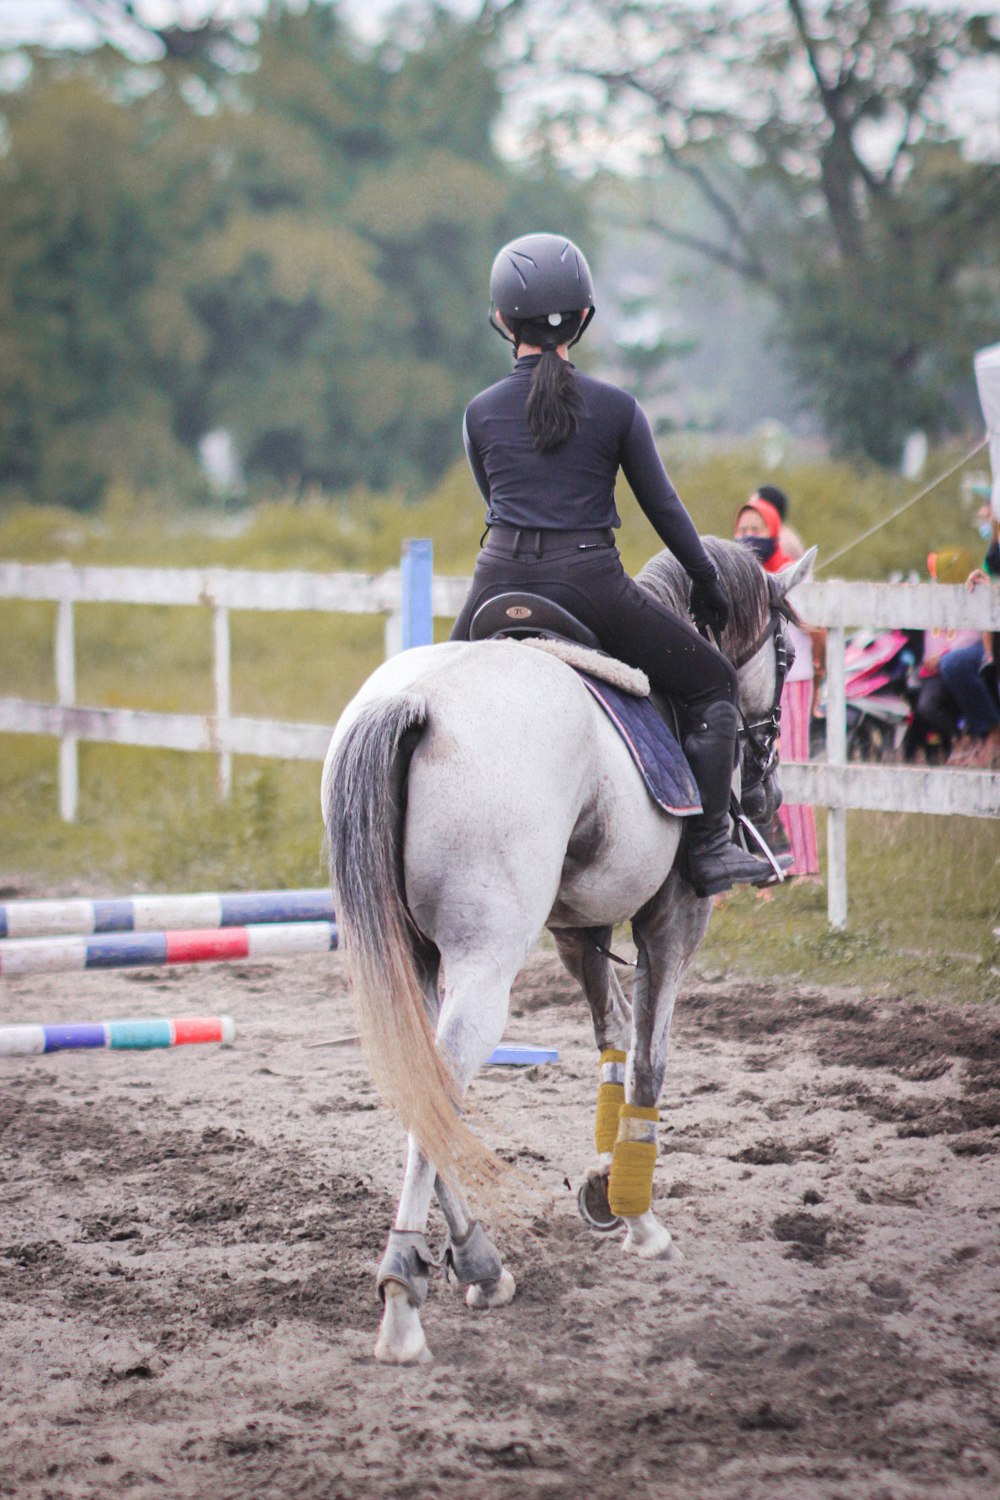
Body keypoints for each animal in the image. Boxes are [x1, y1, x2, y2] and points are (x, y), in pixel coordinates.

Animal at [320, 543, 815, 1374]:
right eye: (784, 657)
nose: (768, 797)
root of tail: (414, 703)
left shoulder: (577, 931)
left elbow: (610, 1040)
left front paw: (603, 1188)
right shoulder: (673, 919)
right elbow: (648, 1058)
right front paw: (637, 1213)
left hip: (412, 956)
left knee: (423, 1084)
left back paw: (476, 1263)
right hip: (485, 965)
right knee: (443, 1081)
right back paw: (403, 1300)